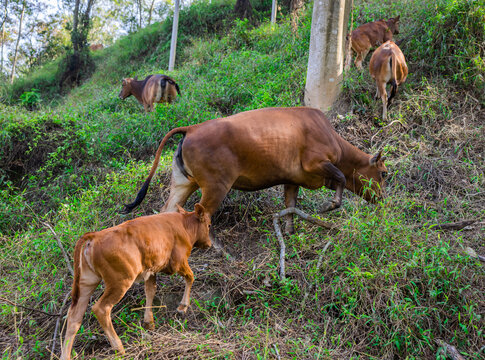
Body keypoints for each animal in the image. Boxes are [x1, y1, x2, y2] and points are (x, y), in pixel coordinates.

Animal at [59, 204, 211, 358]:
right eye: (209, 225)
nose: (209, 244)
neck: (184, 224)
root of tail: (94, 236)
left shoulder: (151, 270)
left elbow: (150, 290)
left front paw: (149, 322)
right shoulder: (179, 262)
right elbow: (190, 277)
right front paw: (182, 307)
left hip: (87, 282)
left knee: (74, 317)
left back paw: (65, 356)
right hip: (120, 282)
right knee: (101, 308)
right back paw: (119, 348)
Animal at [123, 107, 388, 235]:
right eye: (384, 173)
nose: (383, 200)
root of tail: (192, 128)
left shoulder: (292, 179)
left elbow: (290, 206)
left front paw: (290, 232)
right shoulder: (316, 163)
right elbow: (341, 177)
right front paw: (331, 205)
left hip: (184, 184)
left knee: (167, 211)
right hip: (216, 187)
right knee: (200, 214)